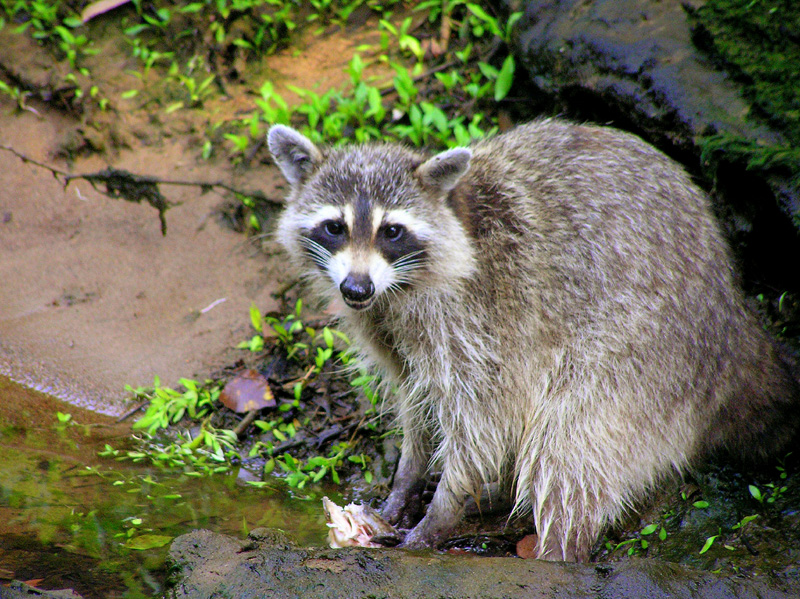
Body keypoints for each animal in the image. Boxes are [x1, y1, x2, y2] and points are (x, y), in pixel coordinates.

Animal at [267, 119, 798, 561]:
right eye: (335, 226)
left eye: (392, 231)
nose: (355, 288)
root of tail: (734, 310)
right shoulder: (387, 326)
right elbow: (415, 402)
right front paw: (408, 476)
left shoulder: (481, 319)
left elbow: (482, 421)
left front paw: (441, 510)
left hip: (643, 350)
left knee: (569, 445)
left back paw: (555, 552)